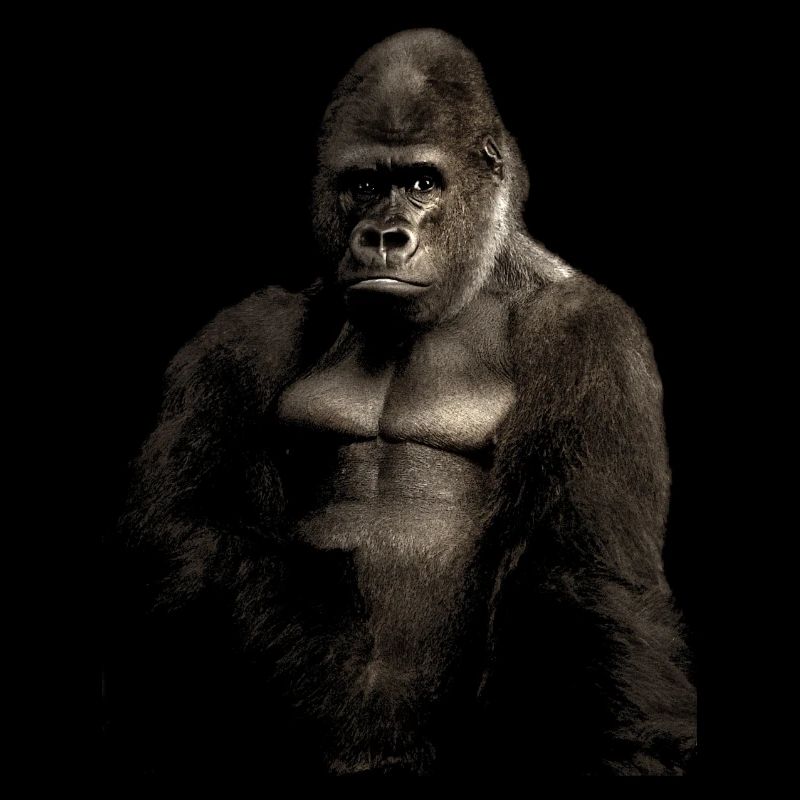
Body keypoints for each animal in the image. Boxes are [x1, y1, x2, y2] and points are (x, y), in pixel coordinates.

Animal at [117, 28, 696, 778]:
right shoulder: (244, 337)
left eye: (422, 183)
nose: (384, 236)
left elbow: (588, 577)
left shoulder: (593, 334)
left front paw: (630, 750)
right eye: (364, 184)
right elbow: (187, 534)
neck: (478, 275)